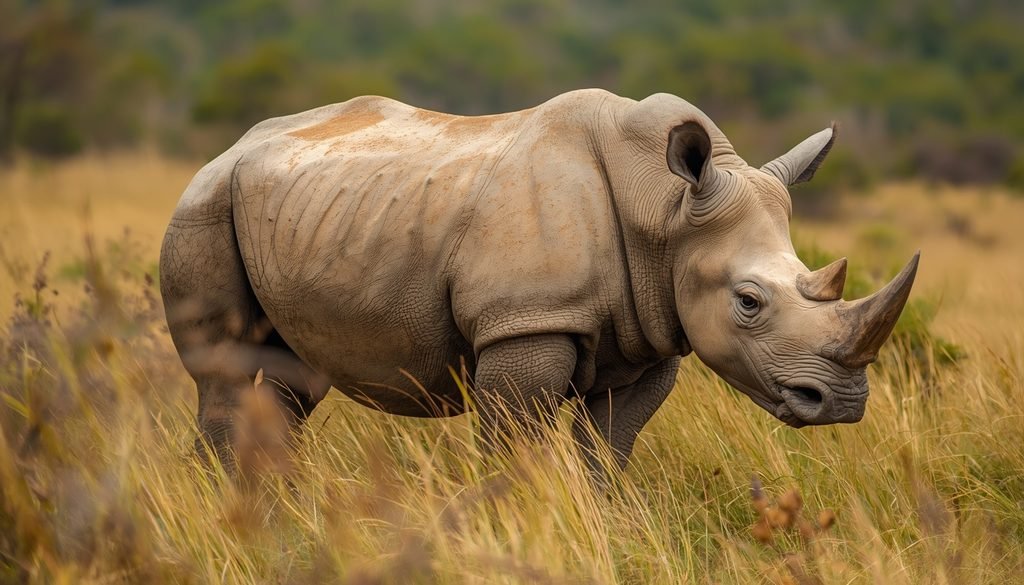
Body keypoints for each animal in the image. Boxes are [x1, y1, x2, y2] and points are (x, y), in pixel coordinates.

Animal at [160, 89, 918, 472]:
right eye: (749, 301)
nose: (842, 402)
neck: (665, 211)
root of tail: (232, 146)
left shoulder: (649, 333)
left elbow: (609, 450)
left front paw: (606, 527)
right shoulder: (525, 320)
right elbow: (512, 443)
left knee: (292, 378)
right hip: (203, 202)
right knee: (223, 371)